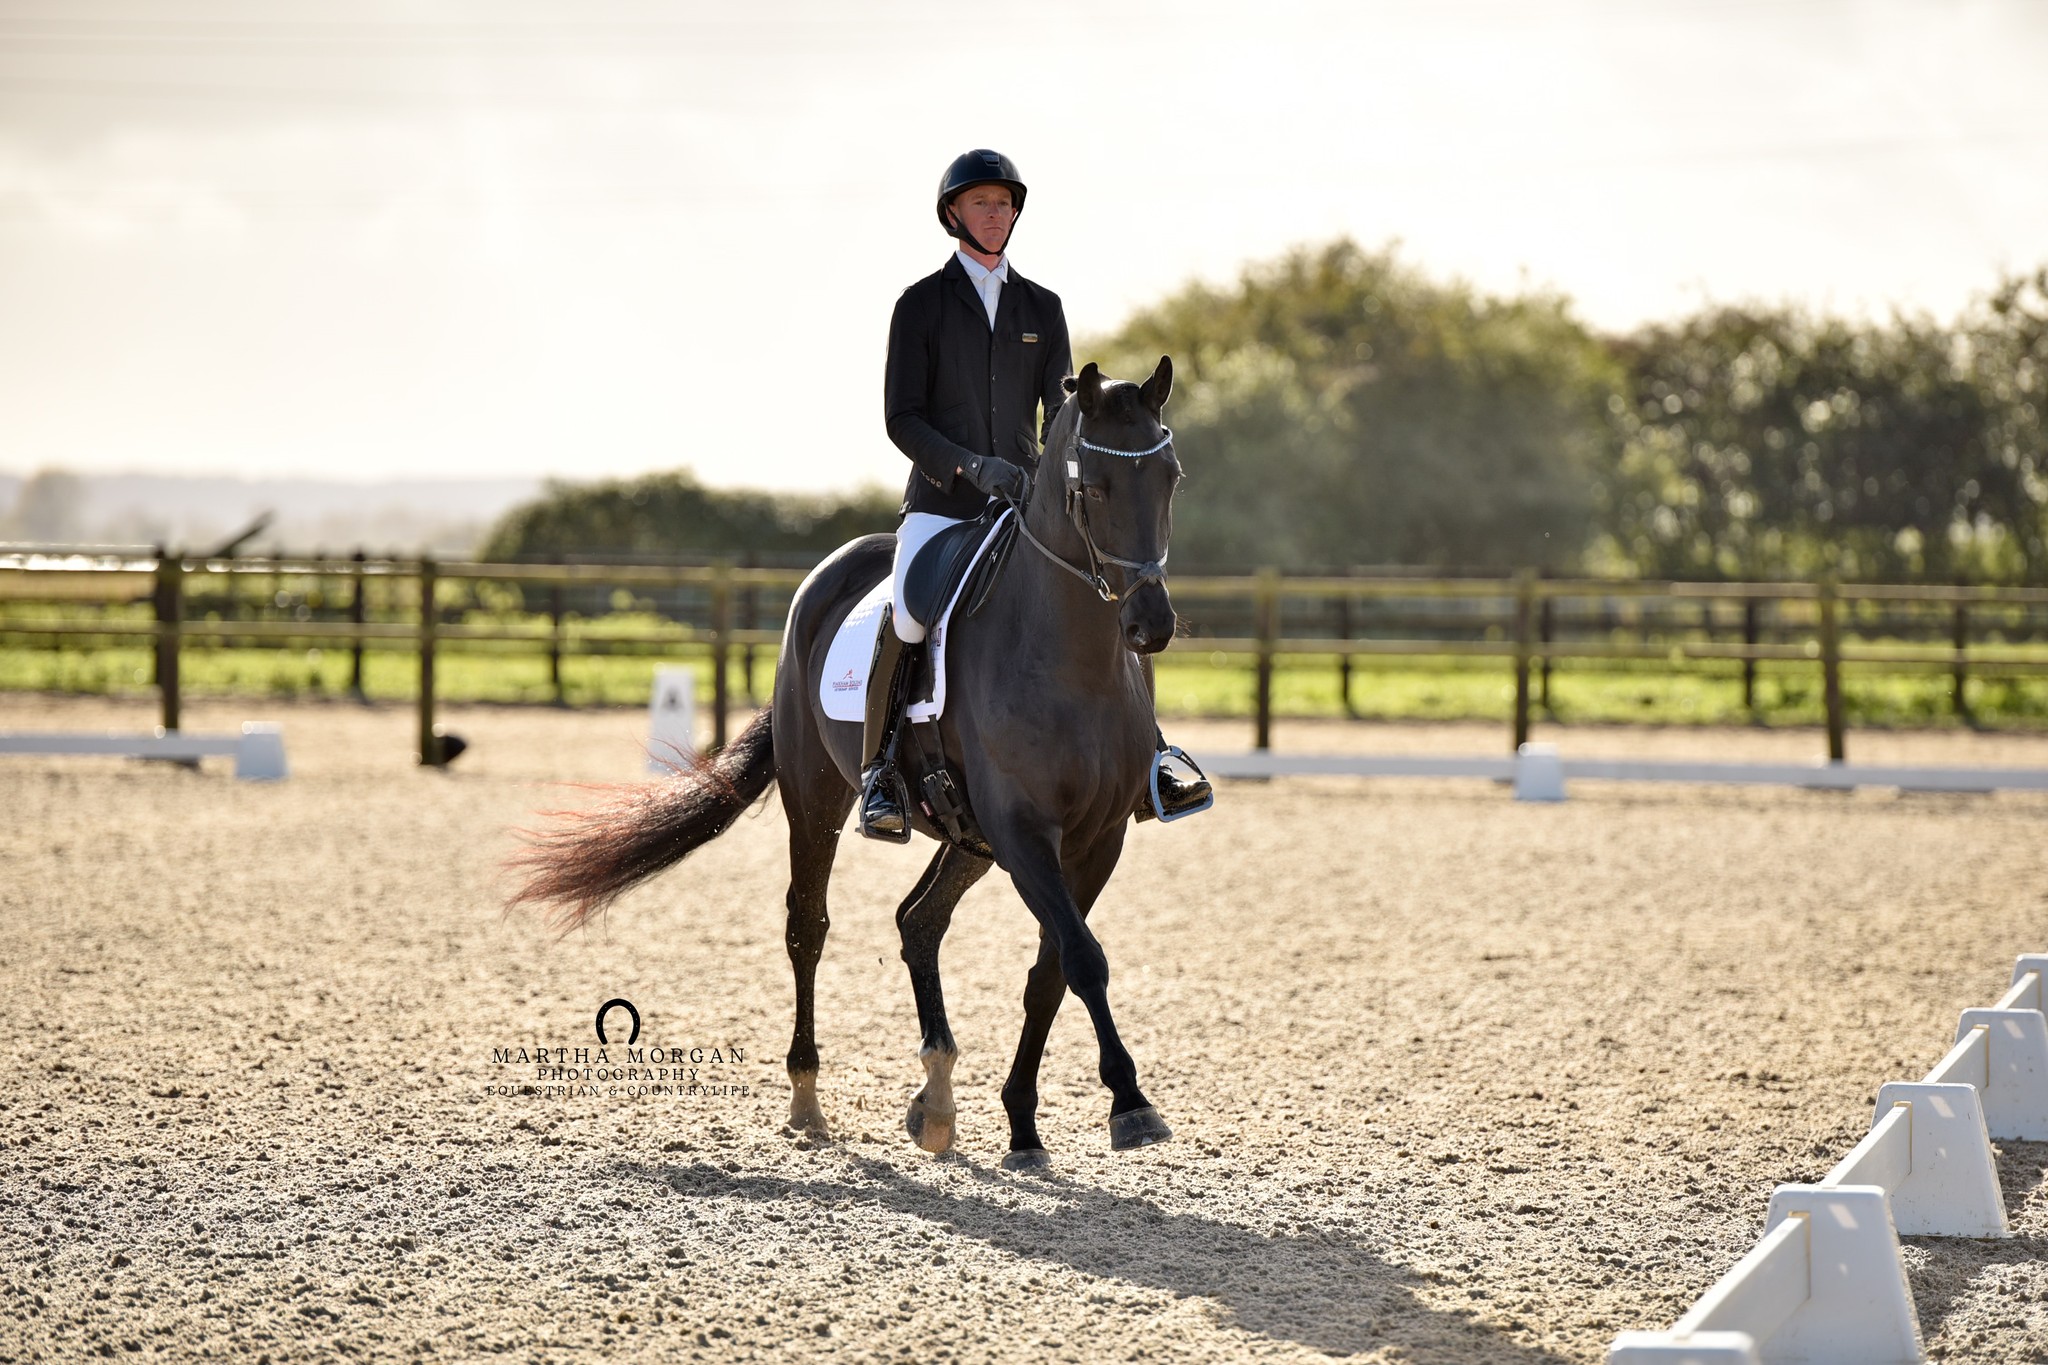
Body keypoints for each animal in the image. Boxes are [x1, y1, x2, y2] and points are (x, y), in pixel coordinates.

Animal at [507, 358, 1187, 1170]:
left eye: (1171, 478)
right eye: (1096, 489)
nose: (1151, 624)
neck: (1070, 658)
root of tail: (825, 577)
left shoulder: (1095, 838)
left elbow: (1052, 970)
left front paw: (1026, 1124)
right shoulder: (1025, 832)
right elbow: (1082, 960)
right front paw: (1132, 1104)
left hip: (969, 836)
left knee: (918, 921)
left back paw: (935, 1101)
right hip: (819, 795)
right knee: (809, 925)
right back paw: (807, 1099)